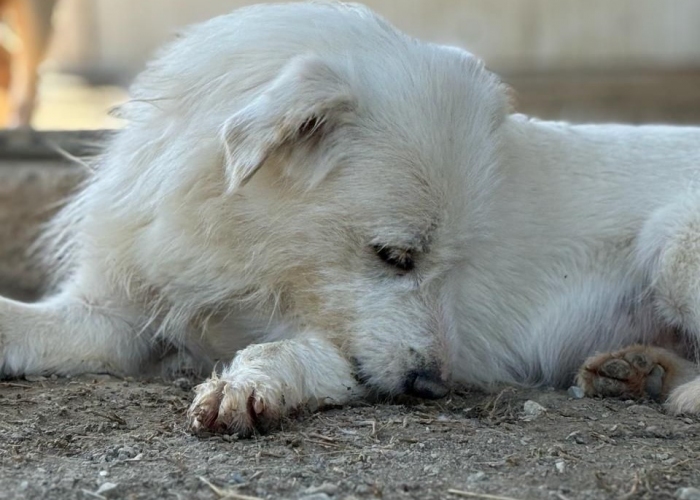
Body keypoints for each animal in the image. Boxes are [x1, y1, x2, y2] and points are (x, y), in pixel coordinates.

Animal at [1, 1, 700, 436]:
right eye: (397, 256)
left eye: (456, 262)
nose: (433, 388)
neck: (242, 248)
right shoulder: (108, 314)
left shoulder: (340, 350)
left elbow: (276, 347)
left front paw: (247, 385)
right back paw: (638, 371)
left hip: (675, 247)